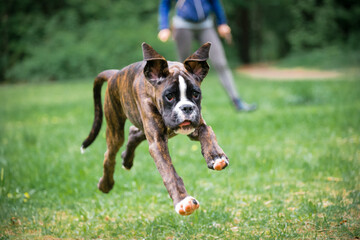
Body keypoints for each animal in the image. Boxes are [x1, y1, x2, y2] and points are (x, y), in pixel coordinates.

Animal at [81, 42, 228, 216]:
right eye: (169, 96)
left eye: (195, 94)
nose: (187, 107)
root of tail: (115, 74)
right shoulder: (158, 142)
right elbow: (169, 172)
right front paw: (183, 201)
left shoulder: (197, 126)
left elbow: (208, 132)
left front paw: (216, 156)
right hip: (115, 128)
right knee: (109, 155)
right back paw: (106, 184)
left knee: (134, 133)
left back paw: (127, 160)